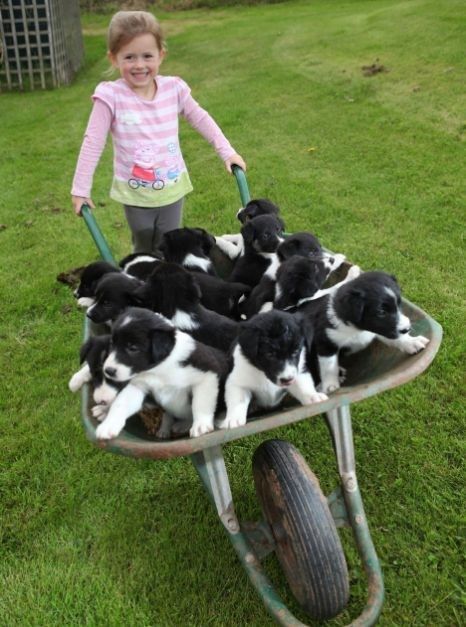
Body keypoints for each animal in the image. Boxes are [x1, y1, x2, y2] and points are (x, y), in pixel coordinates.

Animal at [93, 310, 228, 442]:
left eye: (133, 348)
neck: (160, 367)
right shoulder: (139, 385)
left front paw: (201, 425)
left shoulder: (208, 373)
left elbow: (201, 402)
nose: (108, 370)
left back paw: (181, 426)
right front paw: (109, 425)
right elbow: (121, 403)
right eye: (112, 343)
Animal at [296, 272, 432, 394]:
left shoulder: (380, 330)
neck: (356, 329)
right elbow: (329, 366)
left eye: (399, 304)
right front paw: (330, 385)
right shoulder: (326, 342)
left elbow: (396, 338)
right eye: (381, 312)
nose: (406, 329)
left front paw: (412, 342)